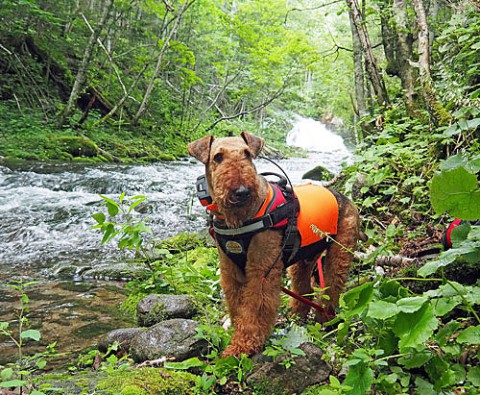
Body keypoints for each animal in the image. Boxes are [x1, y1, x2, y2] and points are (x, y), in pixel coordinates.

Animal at [189, 131, 358, 358]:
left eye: (247, 154)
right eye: (218, 157)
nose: (242, 191)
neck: (238, 222)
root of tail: (344, 197)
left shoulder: (261, 270)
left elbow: (254, 310)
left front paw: (243, 345)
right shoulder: (231, 272)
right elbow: (237, 307)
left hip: (339, 255)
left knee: (330, 290)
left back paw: (325, 319)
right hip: (303, 259)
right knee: (304, 287)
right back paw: (297, 315)